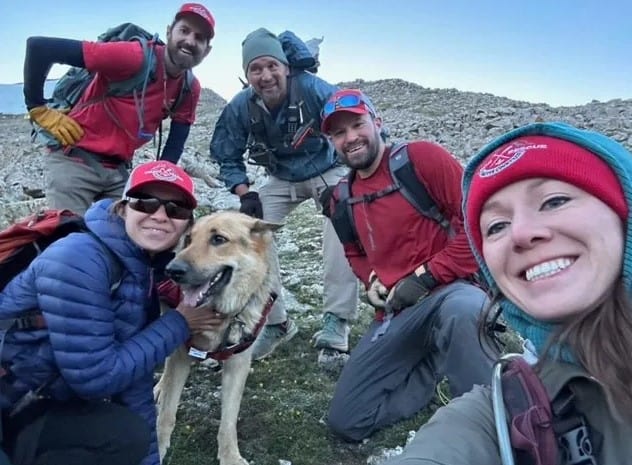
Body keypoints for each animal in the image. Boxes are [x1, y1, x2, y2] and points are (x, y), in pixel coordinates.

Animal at [153, 211, 282, 464]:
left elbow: (229, 420)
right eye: (189, 239)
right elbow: (167, 413)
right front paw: (158, 447)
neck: (223, 313)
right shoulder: (181, 354)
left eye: (218, 239)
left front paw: (230, 455)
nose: (172, 271)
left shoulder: (238, 363)